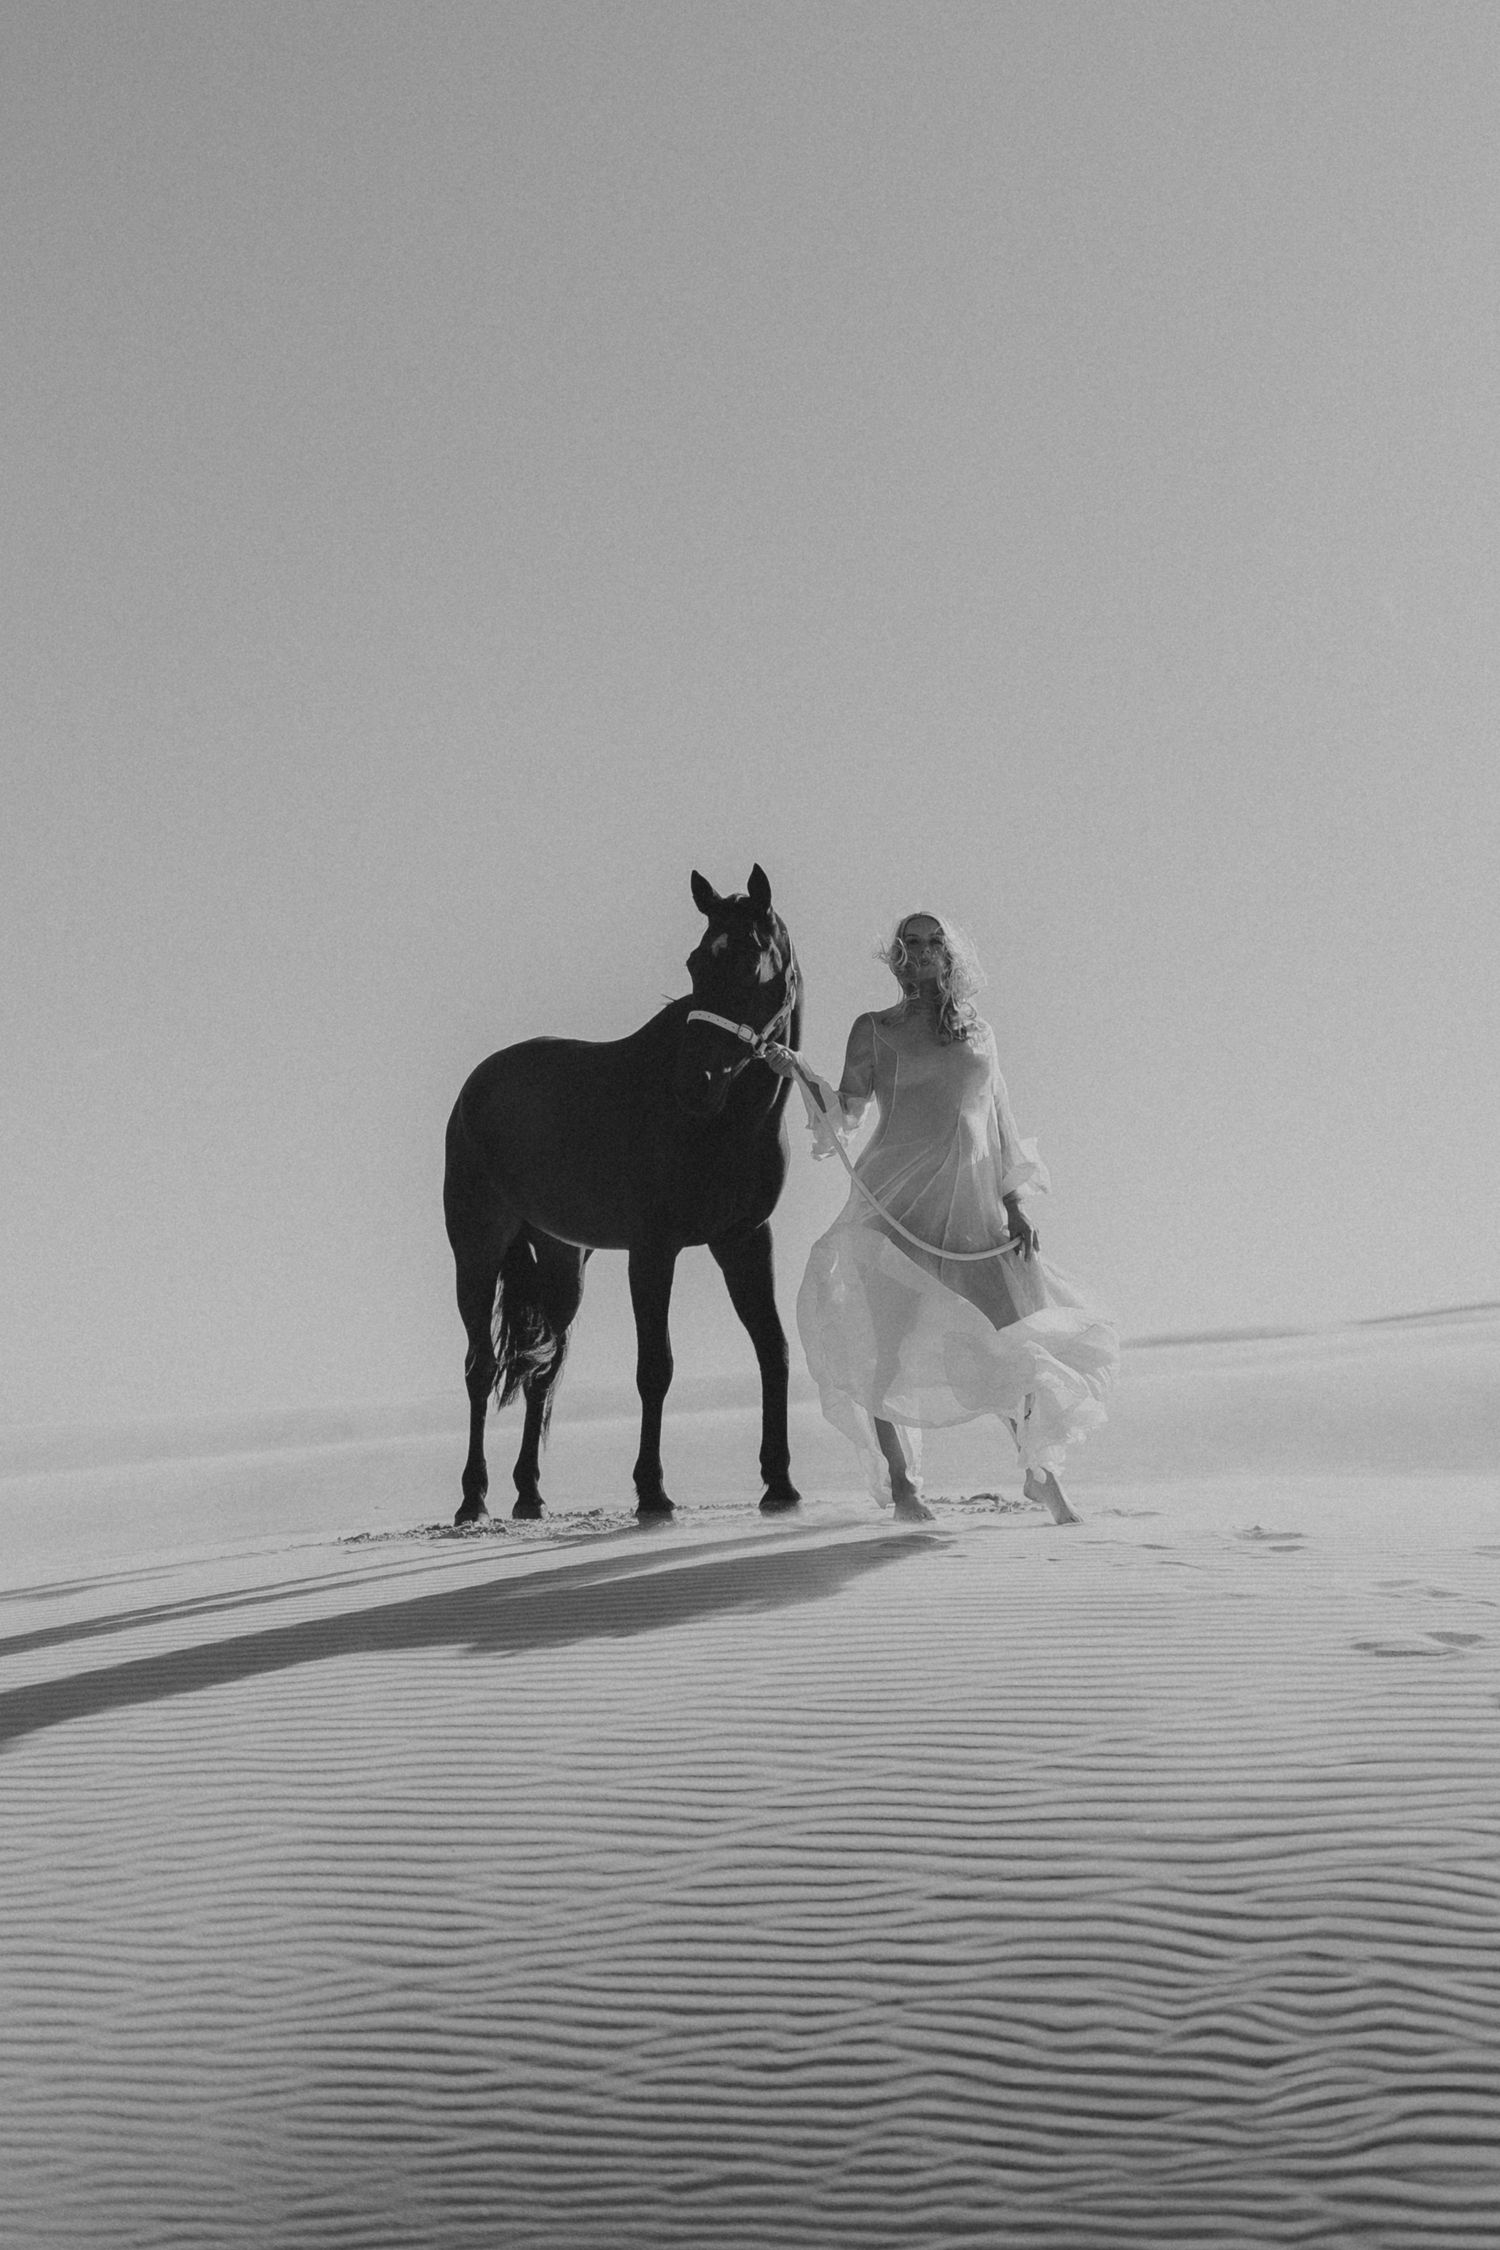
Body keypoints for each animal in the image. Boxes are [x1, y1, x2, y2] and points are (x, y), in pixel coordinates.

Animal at [442, 865, 804, 1524]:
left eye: (749, 958)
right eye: (695, 962)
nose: (694, 1083)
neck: (726, 1123)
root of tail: (473, 1089)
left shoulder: (744, 1240)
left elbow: (773, 1348)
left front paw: (780, 1482)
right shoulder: (653, 1250)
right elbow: (655, 1367)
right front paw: (652, 1490)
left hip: (563, 1259)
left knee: (544, 1370)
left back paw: (529, 1494)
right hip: (476, 1250)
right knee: (480, 1368)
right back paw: (472, 1497)